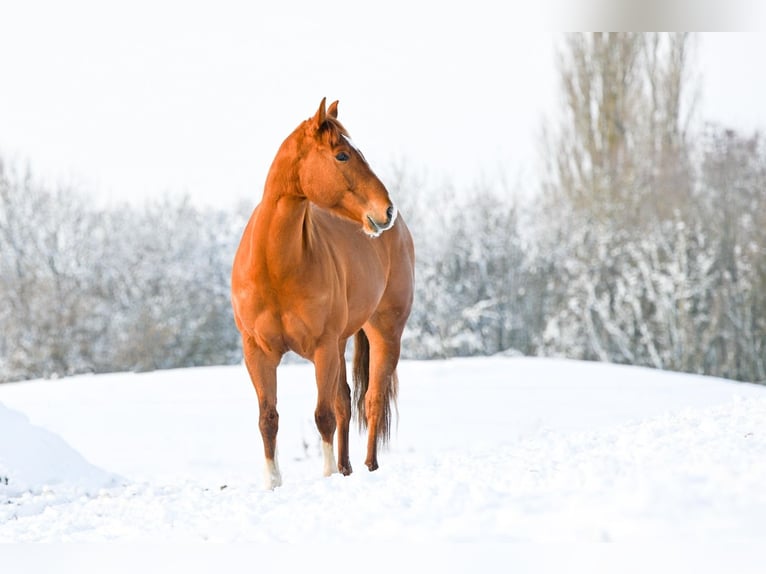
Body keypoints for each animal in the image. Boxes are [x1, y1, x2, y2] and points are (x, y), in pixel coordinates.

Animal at [231, 98, 415, 489]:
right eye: (342, 155)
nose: (386, 210)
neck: (276, 267)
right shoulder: (257, 351)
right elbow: (268, 417)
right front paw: (273, 481)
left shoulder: (322, 347)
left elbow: (323, 415)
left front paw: (327, 474)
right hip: (343, 341)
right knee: (346, 400)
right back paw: (346, 467)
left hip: (383, 332)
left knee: (372, 399)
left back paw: (367, 466)